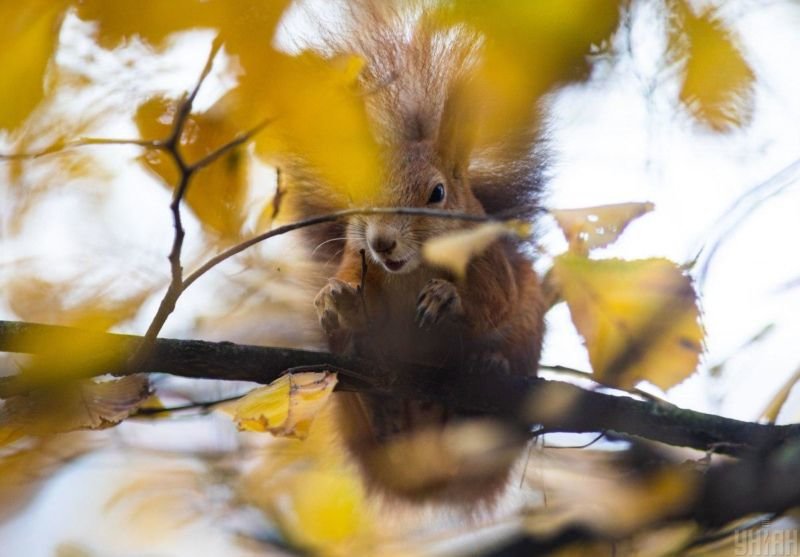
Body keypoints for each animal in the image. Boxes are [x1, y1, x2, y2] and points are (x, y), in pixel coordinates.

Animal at [284, 0, 548, 504]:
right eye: (359, 193)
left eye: (437, 193)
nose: (383, 242)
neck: (410, 270)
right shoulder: (355, 257)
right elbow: (351, 286)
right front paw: (337, 298)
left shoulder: (490, 263)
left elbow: (492, 300)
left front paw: (446, 299)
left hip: (528, 336)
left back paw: (488, 366)